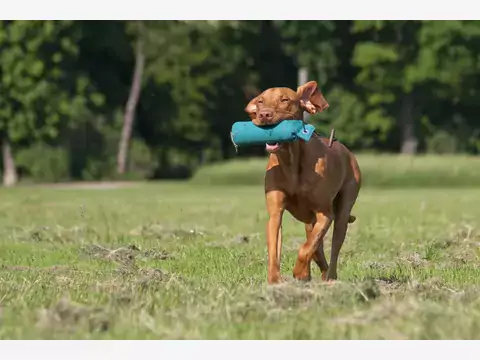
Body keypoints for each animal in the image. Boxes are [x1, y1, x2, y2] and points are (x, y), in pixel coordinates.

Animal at [246, 79, 362, 284]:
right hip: (310, 221)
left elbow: (306, 248)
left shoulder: (325, 214)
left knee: (333, 247)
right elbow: (276, 248)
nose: (264, 114)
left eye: (284, 99)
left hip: (343, 209)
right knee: (316, 245)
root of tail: (346, 151)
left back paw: (329, 278)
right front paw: (275, 280)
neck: (291, 161)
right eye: (260, 101)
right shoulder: (276, 213)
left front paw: (299, 272)